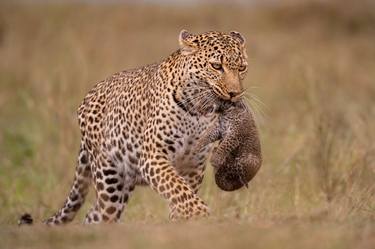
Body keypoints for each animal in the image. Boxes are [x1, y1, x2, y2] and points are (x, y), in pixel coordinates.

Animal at [37, 30, 250, 225]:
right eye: (216, 66)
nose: (234, 93)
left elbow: (183, 194)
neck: (198, 109)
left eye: (242, 68)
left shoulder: (194, 165)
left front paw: (182, 220)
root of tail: (88, 95)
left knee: (94, 215)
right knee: (101, 213)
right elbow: (177, 188)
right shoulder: (153, 156)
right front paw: (200, 212)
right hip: (109, 178)